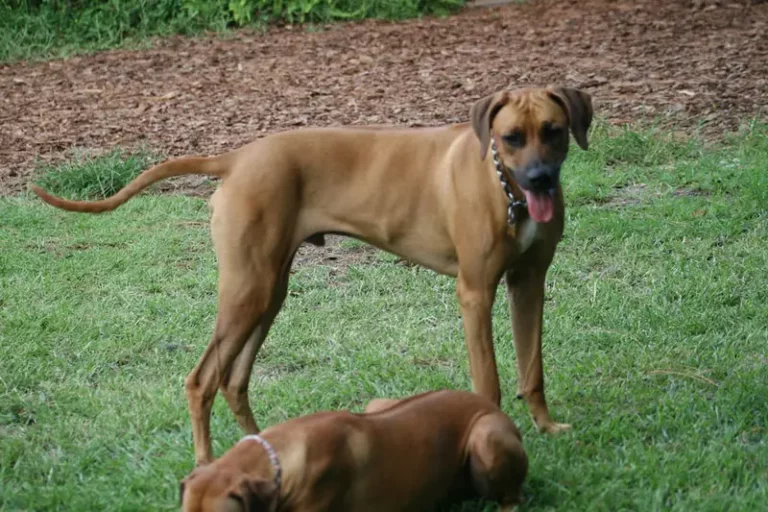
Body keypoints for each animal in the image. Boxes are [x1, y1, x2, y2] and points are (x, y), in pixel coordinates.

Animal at [30, 85, 592, 464]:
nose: (541, 179)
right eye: (511, 138)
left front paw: (546, 427)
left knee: (234, 379)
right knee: (201, 379)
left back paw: (259, 448)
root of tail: (236, 156)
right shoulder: (474, 292)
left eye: (554, 132)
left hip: (268, 291)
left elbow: (533, 368)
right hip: (248, 290)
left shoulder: (529, 284)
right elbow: (489, 380)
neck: (504, 187)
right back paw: (206, 462)